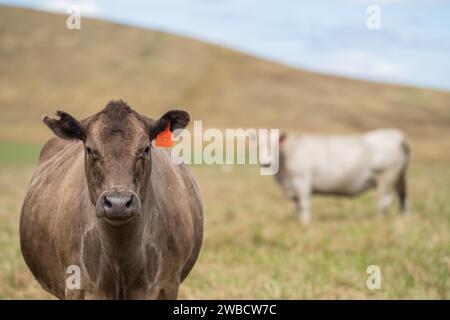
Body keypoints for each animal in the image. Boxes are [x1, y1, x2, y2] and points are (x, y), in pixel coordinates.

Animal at [253, 129, 412, 224]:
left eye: (275, 146)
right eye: (258, 146)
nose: (266, 163)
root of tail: (397, 136)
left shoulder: (302, 182)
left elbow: (304, 204)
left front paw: (305, 223)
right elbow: (296, 207)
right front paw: (296, 222)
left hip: (386, 176)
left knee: (385, 200)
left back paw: (378, 220)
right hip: (398, 177)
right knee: (403, 196)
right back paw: (403, 217)